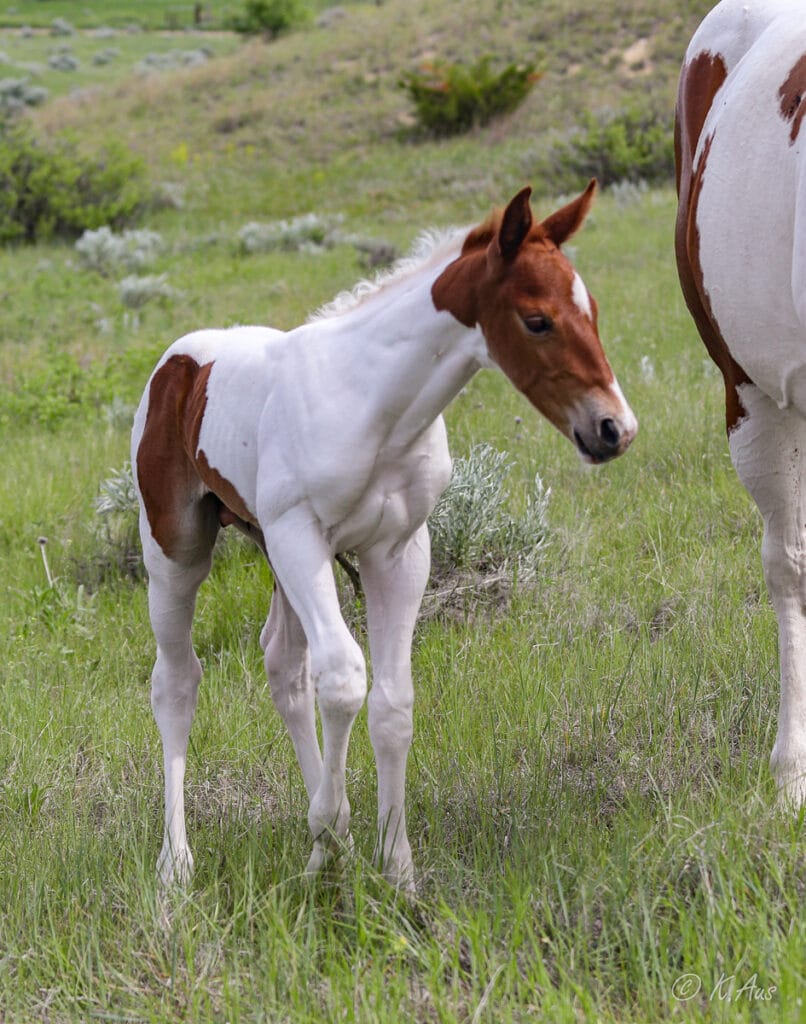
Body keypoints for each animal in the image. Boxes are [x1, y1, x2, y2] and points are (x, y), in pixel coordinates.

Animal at [130, 184, 634, 888]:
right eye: (537, 320)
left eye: (592, 311)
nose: (614, 428)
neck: (374, 405)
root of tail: (176, 363)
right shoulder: (302, 536)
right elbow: (345, 678)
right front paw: (332, 836)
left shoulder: (398, 551)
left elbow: (393, 704)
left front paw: (392, 866)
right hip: (176, 550)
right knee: (177, 681)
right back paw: (176, 862)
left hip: (269, 548)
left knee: (284, 667)